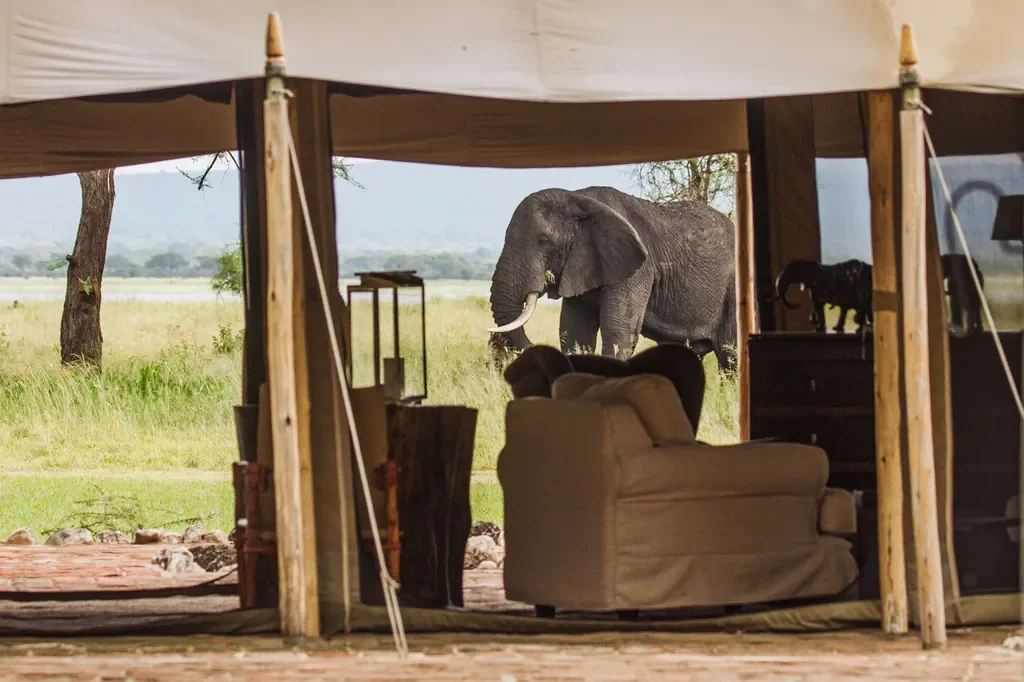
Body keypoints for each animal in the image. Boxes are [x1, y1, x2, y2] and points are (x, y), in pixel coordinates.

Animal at [487, 186, 737, 370]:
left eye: (545, 241)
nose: (532, 345)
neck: (579, 198)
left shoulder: (638, 268)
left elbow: (618, 330)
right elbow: (575, 332)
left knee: (729, 354)